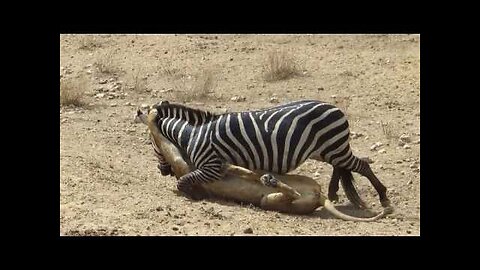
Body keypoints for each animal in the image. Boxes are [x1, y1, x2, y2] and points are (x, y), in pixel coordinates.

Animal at [145, 100, 390, 208]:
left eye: (152, 144)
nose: (162, 171)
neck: (193, 134)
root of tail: (335, 108)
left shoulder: (212, 166)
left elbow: (185, 180)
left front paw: (196, 194)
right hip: (328, 149)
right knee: (340, 167)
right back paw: (333, 193)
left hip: (334, 148)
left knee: (362, 166)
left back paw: (383, 197)